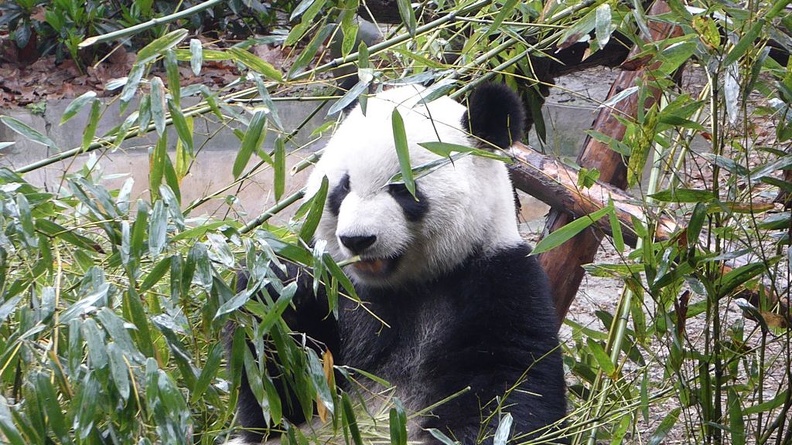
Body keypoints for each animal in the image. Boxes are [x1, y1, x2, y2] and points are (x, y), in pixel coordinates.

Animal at [232, 82, 568, 440]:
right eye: (342, 187)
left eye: (402, 188)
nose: (357, 239)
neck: (398, 287)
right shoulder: (338, 289)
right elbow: (281, 392)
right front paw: (273, 286)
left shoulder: (500, 279)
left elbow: (512, 388)